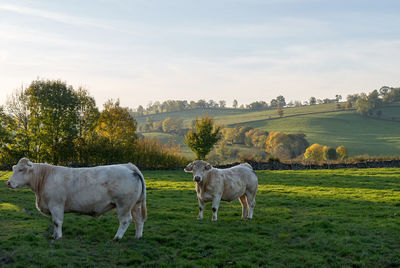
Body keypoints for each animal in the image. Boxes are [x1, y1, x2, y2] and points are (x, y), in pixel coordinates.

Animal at [6, 157, 147, 241]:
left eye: (21, 169)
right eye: (14, 168)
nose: (8, 183)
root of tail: (128, 166)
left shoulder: (56, 204)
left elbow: (57, 222)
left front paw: (58, 237)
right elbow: (54, 222)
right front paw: (54, 235)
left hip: (124, 204)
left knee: (125, 220)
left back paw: (117, 237)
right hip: (135, 204)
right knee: (138, 220)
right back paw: (138, 236)